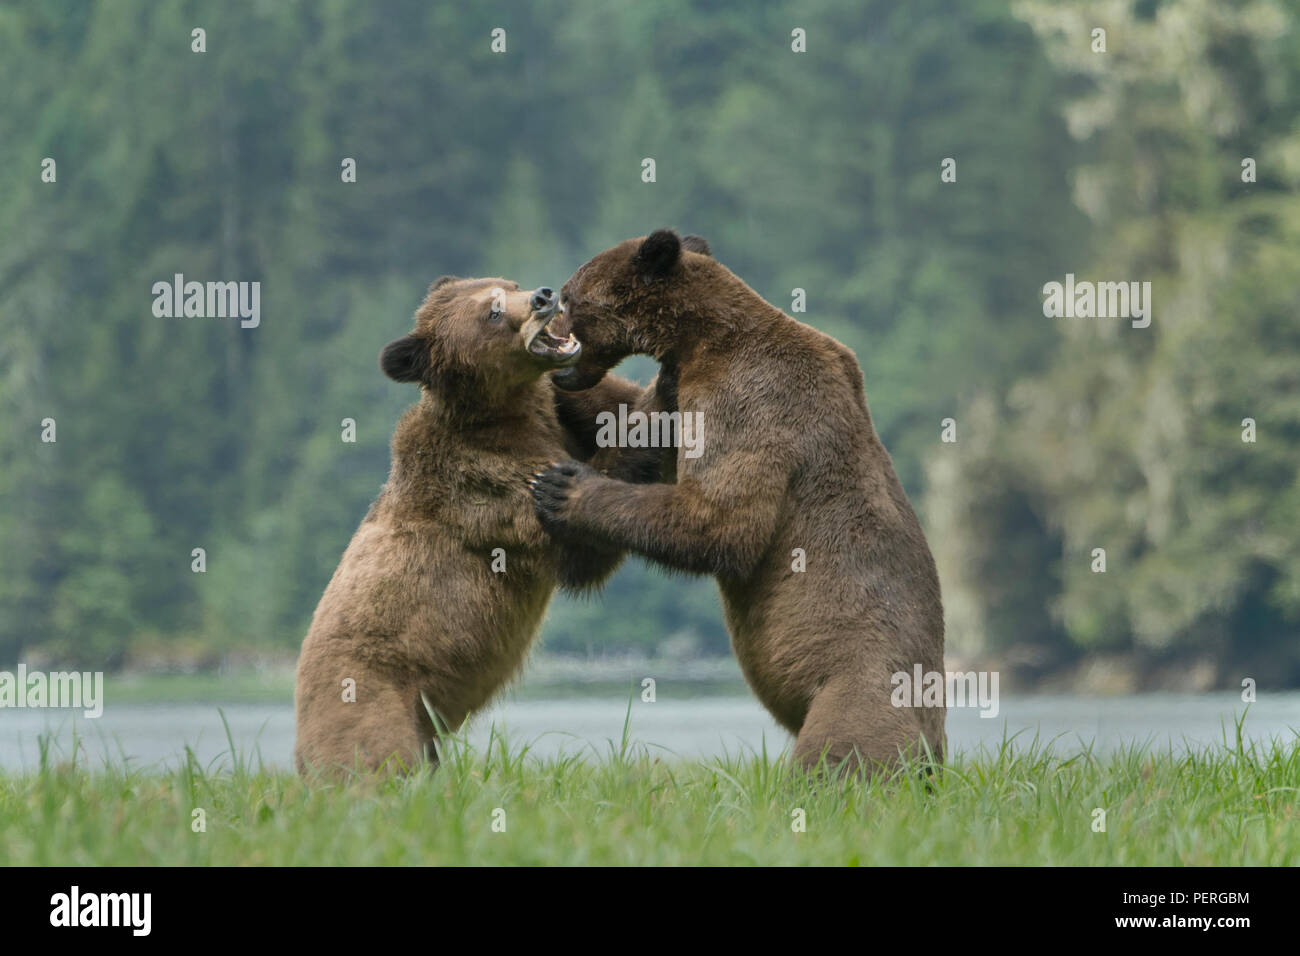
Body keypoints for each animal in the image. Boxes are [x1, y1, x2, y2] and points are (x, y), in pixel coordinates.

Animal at [297, 274, 655, 780]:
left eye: (509, 284)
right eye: (492, 311)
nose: (544, 296)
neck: (506, 411)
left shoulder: (558, 417)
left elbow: (609, 409)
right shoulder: (486, 489)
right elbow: (580, 547)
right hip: (369, 699)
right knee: (377, 758)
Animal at [533, 231, 951, 780]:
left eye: (568, 297)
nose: (550, 329)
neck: (699, 342)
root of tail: (934, 741)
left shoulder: (749, 399)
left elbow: (720, 521)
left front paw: (563, 488)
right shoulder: (678, 395)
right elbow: (626, 425)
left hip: (857, 697)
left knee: (835, 760)